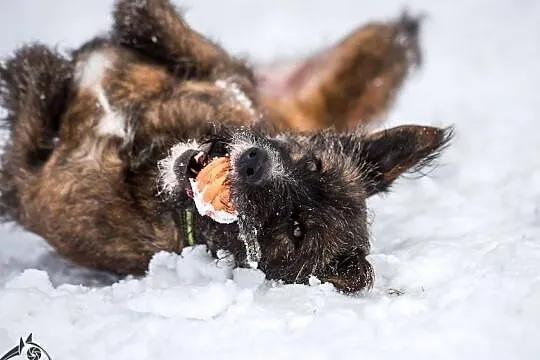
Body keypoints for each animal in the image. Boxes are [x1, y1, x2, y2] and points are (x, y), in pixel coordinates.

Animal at [0, 0, 452, 292]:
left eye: (296, 228)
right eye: (310, 163)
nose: (253, 161)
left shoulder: (28, 188)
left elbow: (30, 105)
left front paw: (35, 66)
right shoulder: (233, 80)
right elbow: (178, 33)